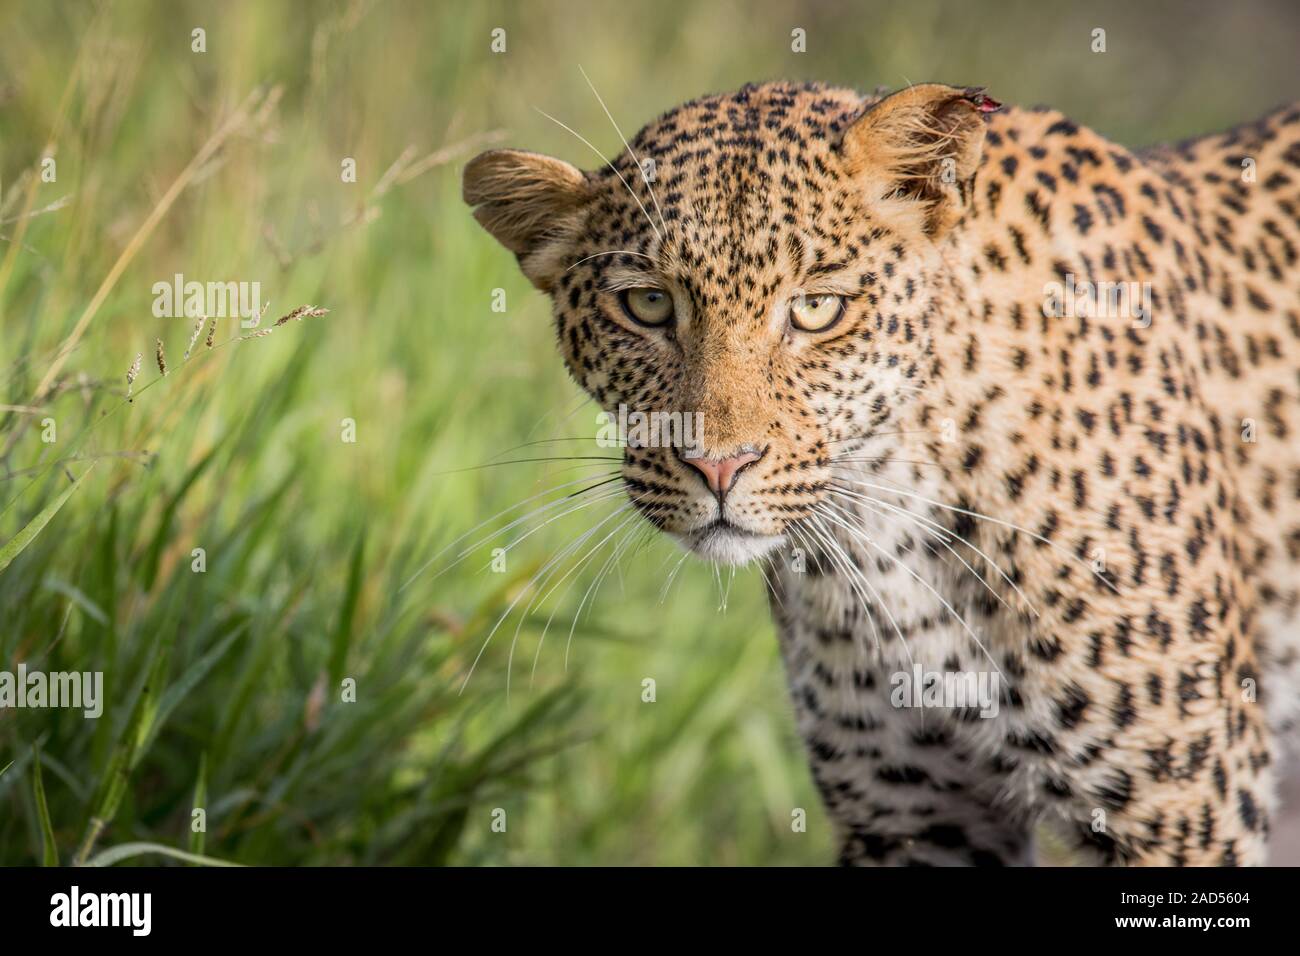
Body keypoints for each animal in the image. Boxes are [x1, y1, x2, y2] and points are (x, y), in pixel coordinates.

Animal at [462, 78, 1300, 863]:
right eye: (645, 306)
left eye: (817, 309)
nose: (719, 467)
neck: (890, 534)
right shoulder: (916, 815)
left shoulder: (1181, 810)